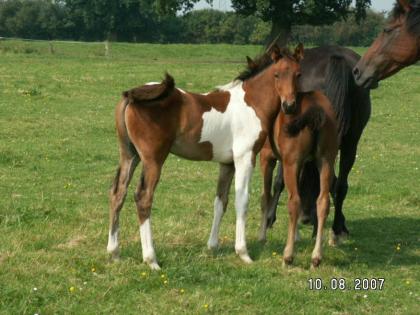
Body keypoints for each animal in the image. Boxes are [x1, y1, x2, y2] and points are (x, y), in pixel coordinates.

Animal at [256, 45, 370, 246]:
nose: (306, 219)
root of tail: (336, 59)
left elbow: (279, 181)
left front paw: (270, 218)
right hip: (350, 142)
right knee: (340, 185)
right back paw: (335, 230)